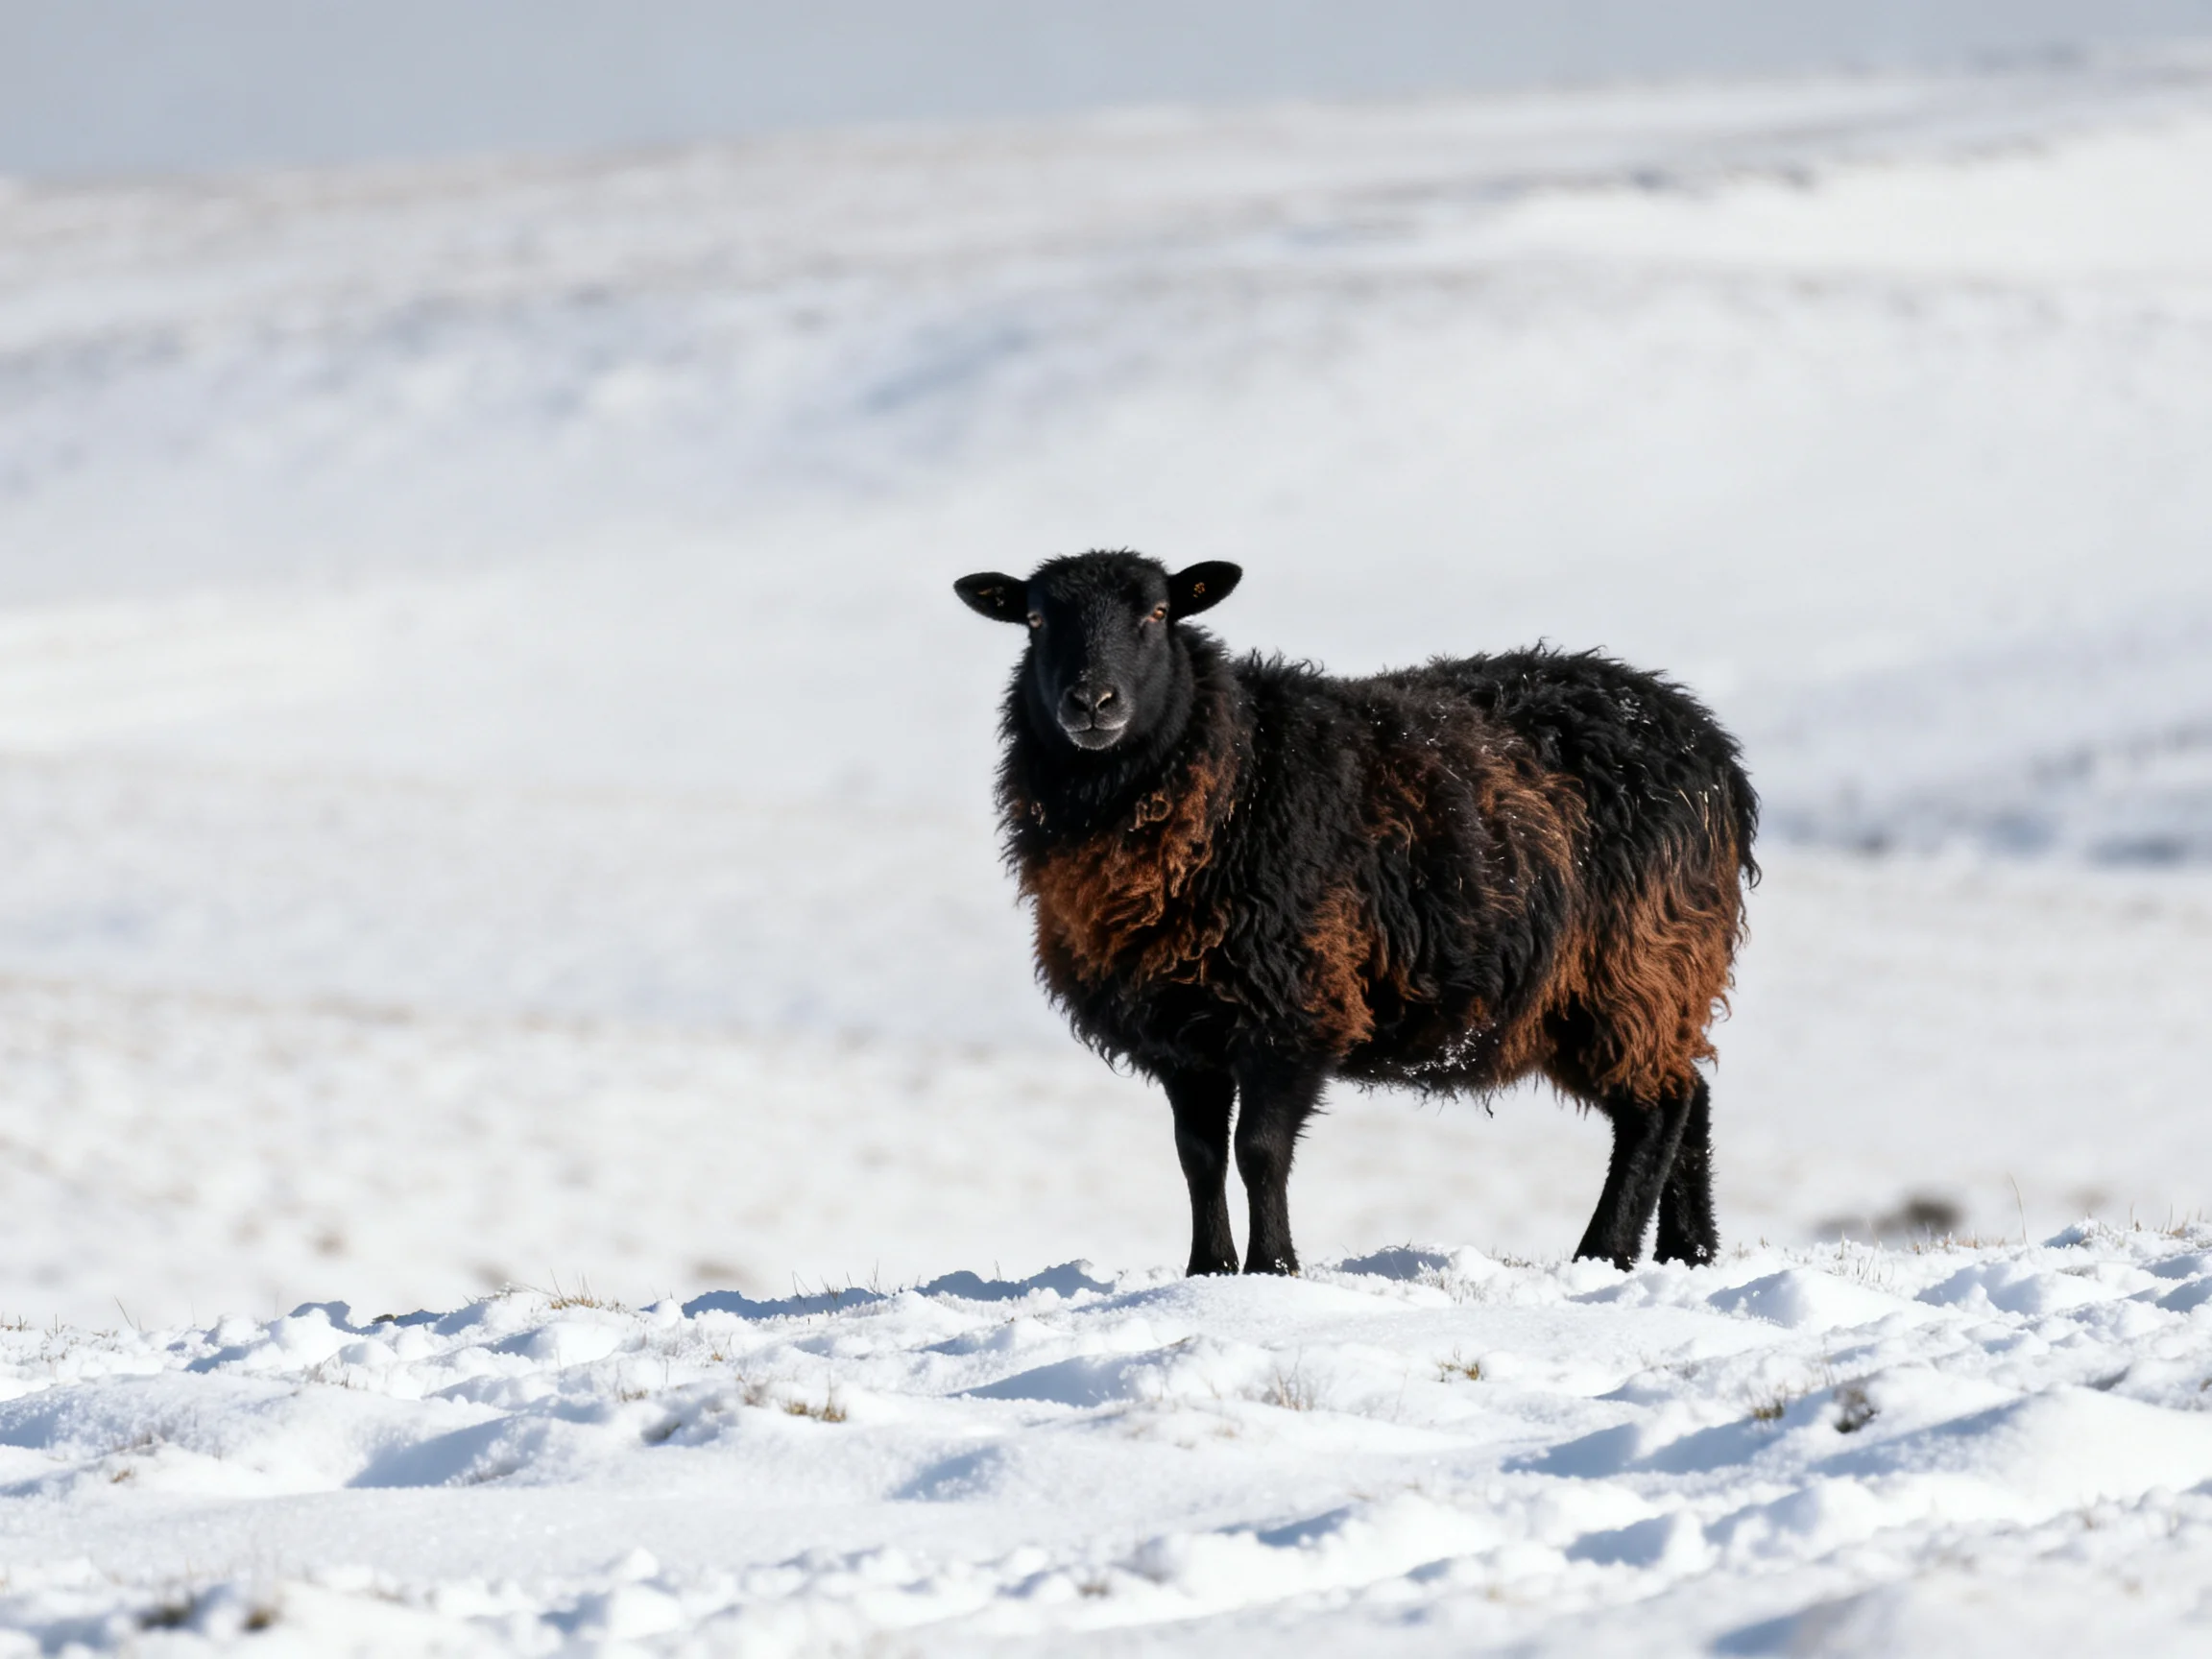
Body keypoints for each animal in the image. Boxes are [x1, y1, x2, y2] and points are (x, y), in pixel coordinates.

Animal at [954, 551, 1757, 1275]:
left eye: (1156, 613)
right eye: (1034, 621)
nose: (1093, 702)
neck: (1234, 774)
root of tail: (1709, 744)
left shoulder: (1295, 1006)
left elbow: (1259, 1152)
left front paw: (1272, 1269)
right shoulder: (1182, 1031)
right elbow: (1198, 1158)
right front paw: (1207, 1271)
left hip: (1636, 961)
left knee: (1657, 1109)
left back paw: (1603, 1254)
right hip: (1638, 981)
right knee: (1690, 1095)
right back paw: (1687, 1254)